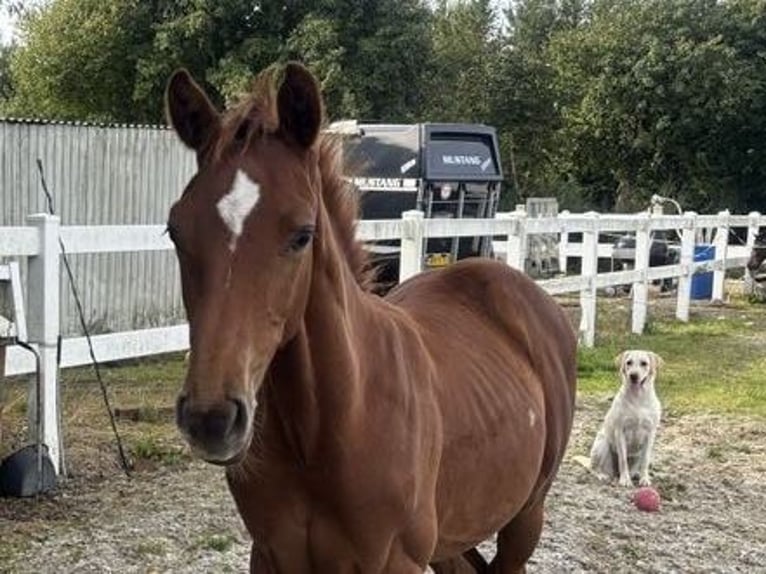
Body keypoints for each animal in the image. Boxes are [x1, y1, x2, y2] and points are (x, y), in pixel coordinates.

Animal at [166, 60, 576, 572]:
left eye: (302, 235)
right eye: (175, 231)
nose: (211, 418)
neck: (333, 426)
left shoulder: (397, 560)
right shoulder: (270, 555)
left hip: (525, 518)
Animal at [592, 348, 664, 488]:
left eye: (644, 363)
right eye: (628, 362)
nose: (633, 375)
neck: (638, 398)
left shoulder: (651, 433)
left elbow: (645, 460)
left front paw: (644, 479)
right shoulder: (620, 431)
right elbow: (623, 459)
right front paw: (625, 480)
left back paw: (635, 474)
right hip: (602, 445)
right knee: (595, 468)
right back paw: (603, 475)